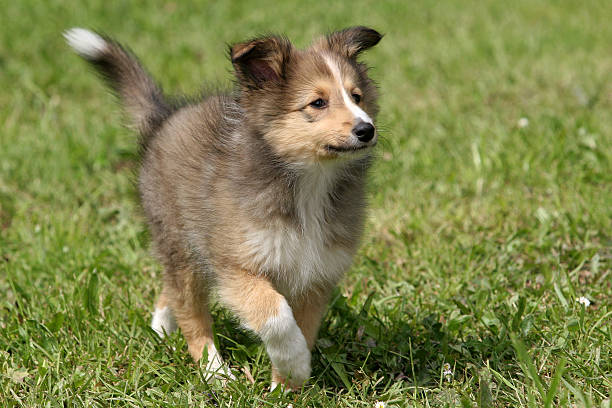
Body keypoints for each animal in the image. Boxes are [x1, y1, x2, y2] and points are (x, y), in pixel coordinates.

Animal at [67, 25, 382, 388]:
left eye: (356, 97)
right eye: (318, 103)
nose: (367, 129)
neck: (309, 183)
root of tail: (164, 118)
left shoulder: (316, 275)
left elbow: (302, 327)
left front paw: (286, 388)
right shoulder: (236, 266)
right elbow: (275, 314)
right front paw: (295, 366)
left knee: (171, 292)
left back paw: (163, 330)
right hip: (181, 243)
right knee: (191, 314)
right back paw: (214, 371)